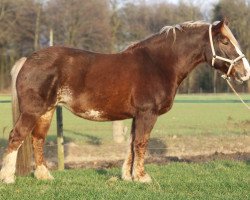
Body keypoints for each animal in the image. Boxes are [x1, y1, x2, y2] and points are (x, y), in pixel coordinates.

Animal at [0, 19, 250, 184]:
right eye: (224, 41)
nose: (244, 72)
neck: (158, 64)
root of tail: (28, 59)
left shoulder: (137, 116)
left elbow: (131, 143)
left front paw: (128, 177)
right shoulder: (148, 114)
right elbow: (141, 143)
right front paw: (142, 177)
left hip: (46, 111)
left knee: (37, 139)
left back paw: (44, 176)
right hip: (33, 111)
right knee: (16, 137)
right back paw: (8, 178)